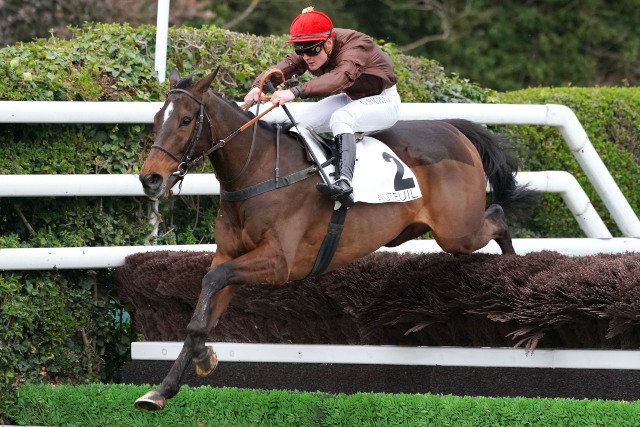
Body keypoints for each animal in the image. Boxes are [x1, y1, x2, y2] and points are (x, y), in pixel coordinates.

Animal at [134, 68, 537, 410]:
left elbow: (214, 282)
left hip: (458, 230)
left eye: (186, 120)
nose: (150, 178)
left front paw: (201, 359)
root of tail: (454, 130)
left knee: (497, 217)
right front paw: (165, 387)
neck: (259, 172)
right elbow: (203, 304)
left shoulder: (279, 262)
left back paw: (514, 271)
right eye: (156, 119)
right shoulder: (230, 256)